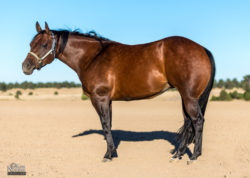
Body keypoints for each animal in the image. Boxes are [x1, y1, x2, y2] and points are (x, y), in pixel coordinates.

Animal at [22, 21, 216, 163]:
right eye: (31, 43)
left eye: (44, 44)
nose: (26, 67)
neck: (92, 57)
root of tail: (202, 49)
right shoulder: (107, 100)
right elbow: (109, 125)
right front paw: (112, 152)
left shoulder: (99, 98)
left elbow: (105, 125)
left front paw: (108, 155)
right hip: (186, 97)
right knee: (189, 122)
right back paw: (178, 154)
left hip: (189, 97)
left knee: (197, 121)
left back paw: (194, 156)